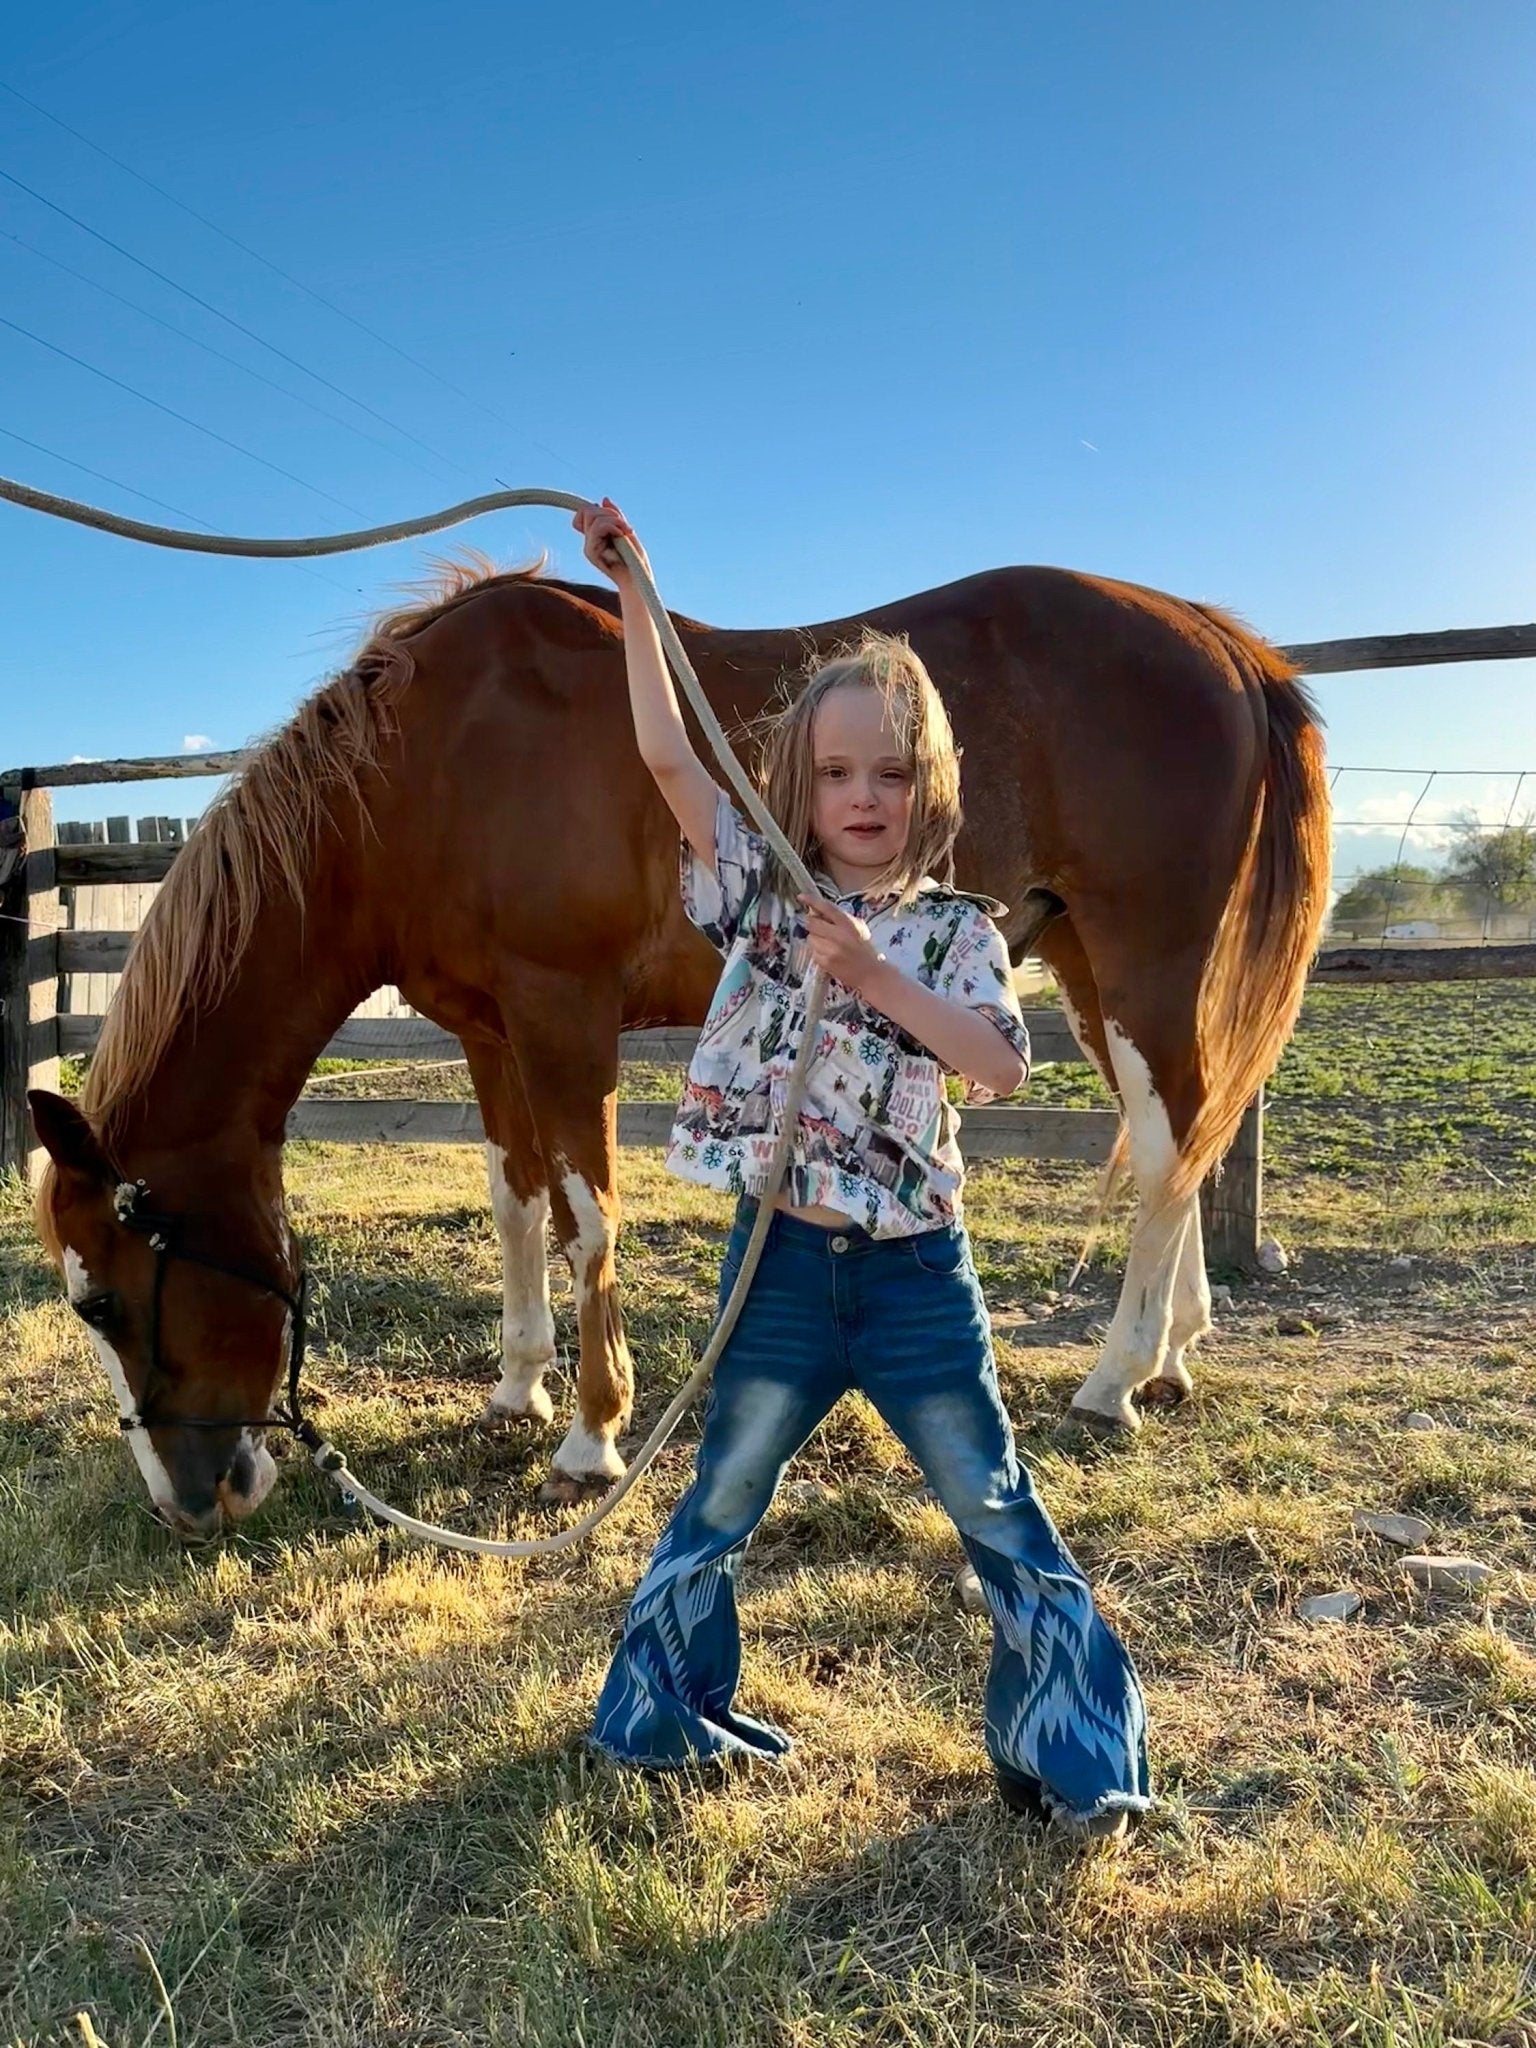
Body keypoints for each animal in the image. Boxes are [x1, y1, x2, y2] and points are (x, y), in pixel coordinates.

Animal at [27, 561, 1335, 1540]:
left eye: (104, 1298)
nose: (189, 1501)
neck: (429, 764)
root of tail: (1224, 646)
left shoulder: (562, 1014)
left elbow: (588, 1215)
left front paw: (594, 1431)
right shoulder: (489, 1028)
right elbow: (515, 1202)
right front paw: (517, 1382)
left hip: (1146, 959)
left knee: (1166, 1149)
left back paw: (1114, 1379)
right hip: (1080, 963)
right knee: (1184, 1139)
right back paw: (1174, 1353)